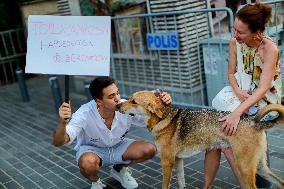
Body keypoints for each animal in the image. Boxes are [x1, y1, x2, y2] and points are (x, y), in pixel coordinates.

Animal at [116, 91, 284, 188]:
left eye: (133, 102)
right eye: (129, 98)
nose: (117, 105)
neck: (163, 119)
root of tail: (254, 122)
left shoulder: (167, 162)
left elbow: (165, 185)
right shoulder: (178, 161)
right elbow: (181, 183)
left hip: (244, 167)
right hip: (260, 168)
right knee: (280, 182)